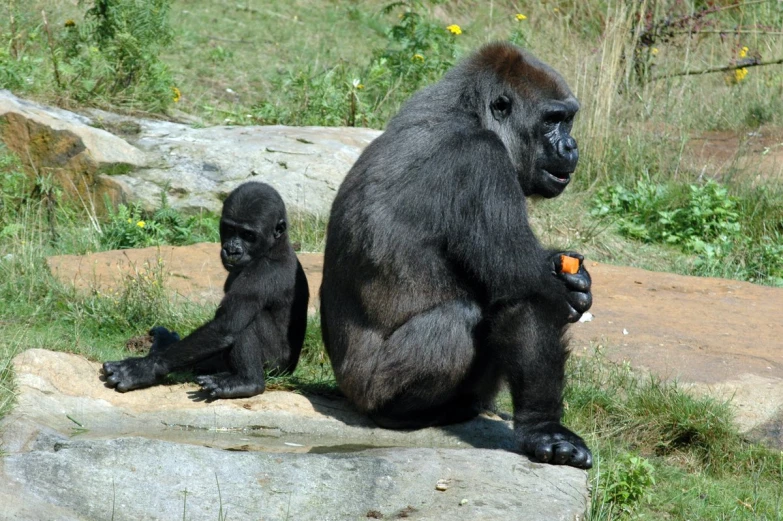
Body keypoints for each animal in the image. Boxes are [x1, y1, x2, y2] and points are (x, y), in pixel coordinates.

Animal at [102, 181, 310, 396]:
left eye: (248, 235)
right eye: (229, 229)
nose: (232, 250)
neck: (274, 246)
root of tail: (290, 370)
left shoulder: (262, 272)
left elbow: (225, 326)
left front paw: (145, 368)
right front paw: (163, 346)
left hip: (276, 368)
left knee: (244, 323)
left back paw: (247, 381)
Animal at [318, 42, 596, 470]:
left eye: (568, 120)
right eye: (553, 120)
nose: (571, 146)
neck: (470, 111)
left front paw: (571, 277)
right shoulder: (481, 163)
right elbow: (527, 292)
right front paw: (545, 428)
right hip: (367, 390)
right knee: (460, 316)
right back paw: (405, 412)